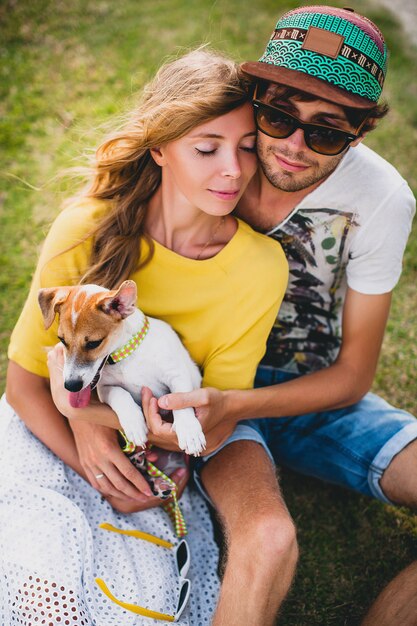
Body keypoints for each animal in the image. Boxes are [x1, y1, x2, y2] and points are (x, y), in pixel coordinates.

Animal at [39, 280, 206, 456]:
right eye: (62, 340)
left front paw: (189, 432)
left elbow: (180, 400)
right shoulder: (105, 388)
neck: (125, 357)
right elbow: (120, 394)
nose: (71, 386)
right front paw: (134, 423)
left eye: (94, 343)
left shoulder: (177, 373)